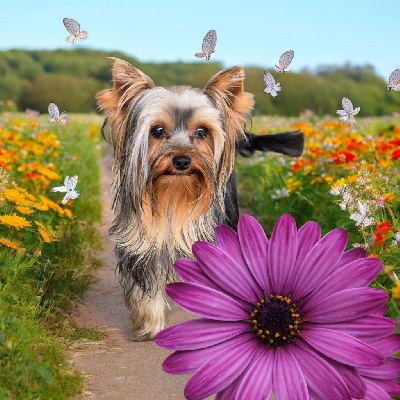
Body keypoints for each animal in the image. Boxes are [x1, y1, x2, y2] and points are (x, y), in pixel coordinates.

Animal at [97, 59, 304, 340]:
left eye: (202, 131)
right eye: (157, 130)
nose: (182, 160)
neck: (174, 196)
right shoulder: (142, 246)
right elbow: (147, 290)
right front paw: (150, 326)